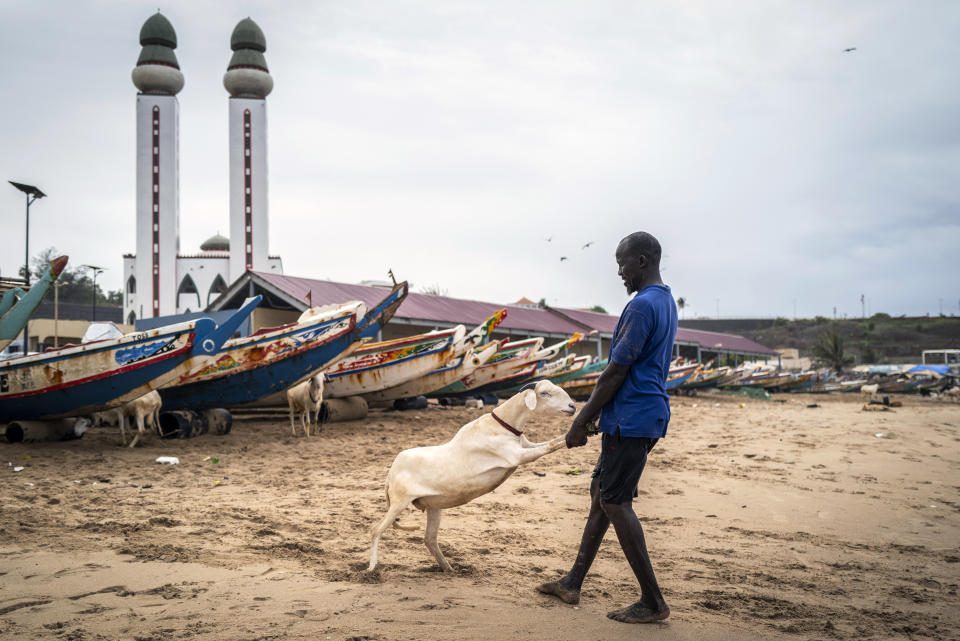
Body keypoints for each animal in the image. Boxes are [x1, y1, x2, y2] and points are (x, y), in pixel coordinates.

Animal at [368, 376, 576, 568]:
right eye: (544, 393)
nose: (573, 406)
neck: (502, 426)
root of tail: (390, 474)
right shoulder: (516, 456)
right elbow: (550, 446)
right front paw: (572, 437)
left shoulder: (527, 446)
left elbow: (550, 442)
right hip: (399, 501)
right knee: (376, 530)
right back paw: (372, 569)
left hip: (433, 505)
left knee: (429, 539)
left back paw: (448, 568)